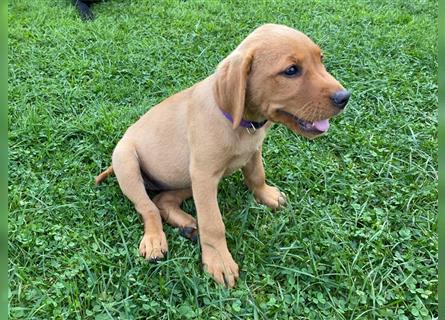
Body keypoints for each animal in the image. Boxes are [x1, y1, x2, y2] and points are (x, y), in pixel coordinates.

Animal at [96, 23, 350, 288]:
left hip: (186, 179)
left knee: (162, 200)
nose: (345, 97)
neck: (241, 123)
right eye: (291, 70)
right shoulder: (204, 176)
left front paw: (267, 195)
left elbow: (257, 176)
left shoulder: (251, 153)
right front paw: (218, 260)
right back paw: (155, 240)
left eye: (321, 60)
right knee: (148, 207)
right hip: (128, 163)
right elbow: (213, 223)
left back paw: (187, 224)